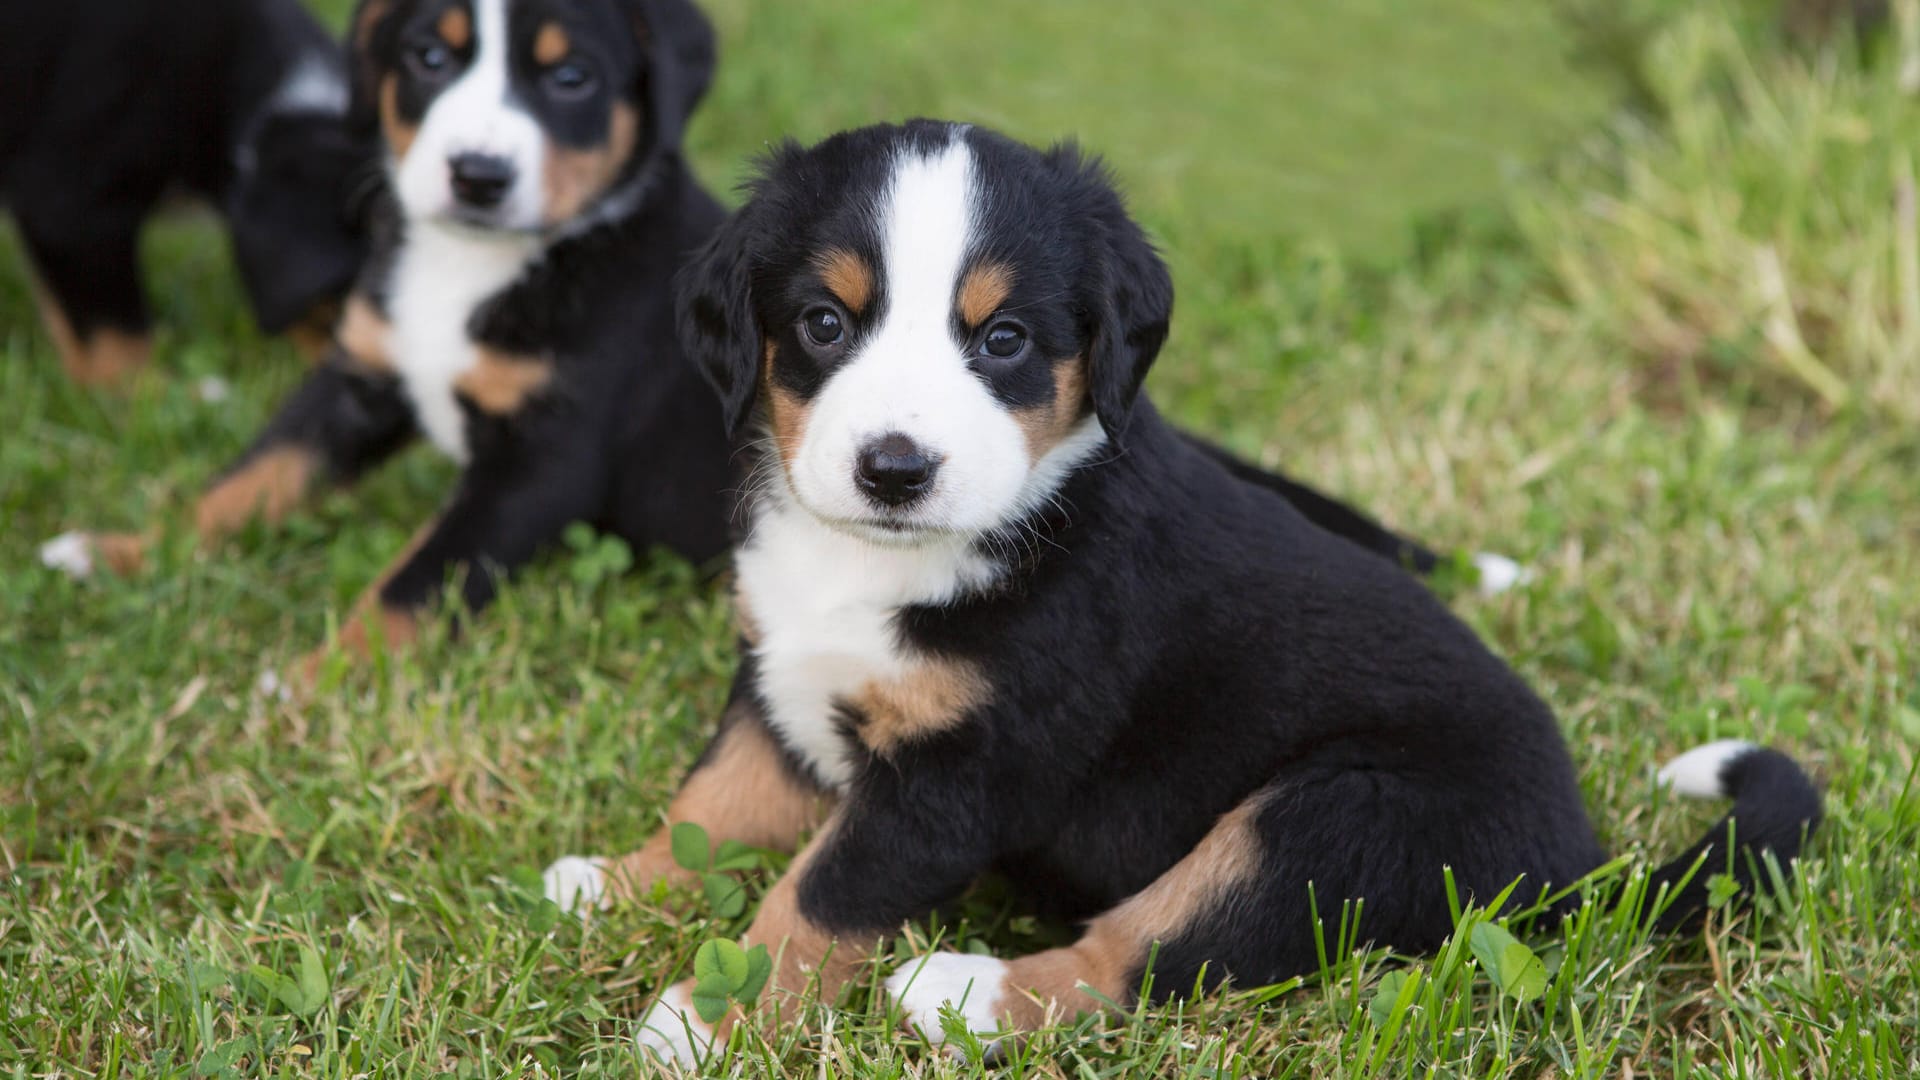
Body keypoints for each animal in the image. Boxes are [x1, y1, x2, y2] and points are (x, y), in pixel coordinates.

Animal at [549, 119, 1820, 1060]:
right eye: (823, 321)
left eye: (1004, 340)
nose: (894, 468)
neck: (896, 556)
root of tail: (1578, 860)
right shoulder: (781, 675)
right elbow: (717, 800)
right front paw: (619, 883)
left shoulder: (961, 773)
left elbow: (817, 899)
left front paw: (699, 1021)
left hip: (1330, 821)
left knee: (1146, 955)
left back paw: (957, 992)